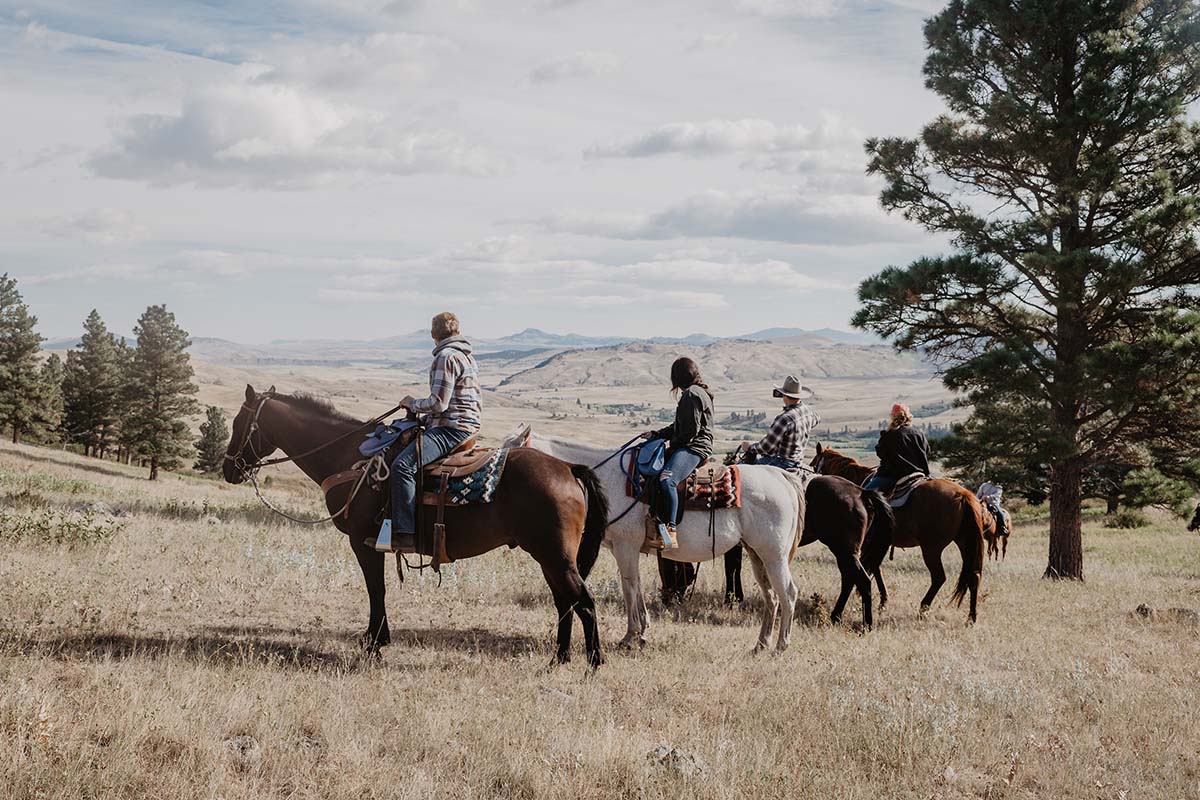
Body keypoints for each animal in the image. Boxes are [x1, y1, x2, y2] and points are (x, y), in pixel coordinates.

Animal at [223, 388, 609, 671]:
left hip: (554, 556)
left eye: (239, 421)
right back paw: (558, 660)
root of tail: (569, 468)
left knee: (584, 601)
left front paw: (374, 644)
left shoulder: (363, 542)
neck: (350, 457)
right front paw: (376, 640)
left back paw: (593, 665)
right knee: (564, 602)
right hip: (549, 559)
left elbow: (375, 590)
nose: (229, 469)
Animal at [511, 429, 811, 652]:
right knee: (771, 596)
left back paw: (781, 646)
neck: (610, 478)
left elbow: (629, 587)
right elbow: (636, 586)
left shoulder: (626, 546)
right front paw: (642, 631)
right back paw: (761, 644)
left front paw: (631, 636)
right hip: (757, 555)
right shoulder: (626, 549)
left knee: (788, 593)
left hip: (774, 556)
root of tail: (780, 476)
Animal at [806, 443, 984, 623]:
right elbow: (875, 568)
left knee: (939, 577)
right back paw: (971, 617)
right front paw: (882, 601)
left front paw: (880, 601)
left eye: (814, 464)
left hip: (931, 548)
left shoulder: (868, 544)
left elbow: (872, 569)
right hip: (964, 544)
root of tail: (963, 495)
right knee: (974, 577)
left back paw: (923, 608)